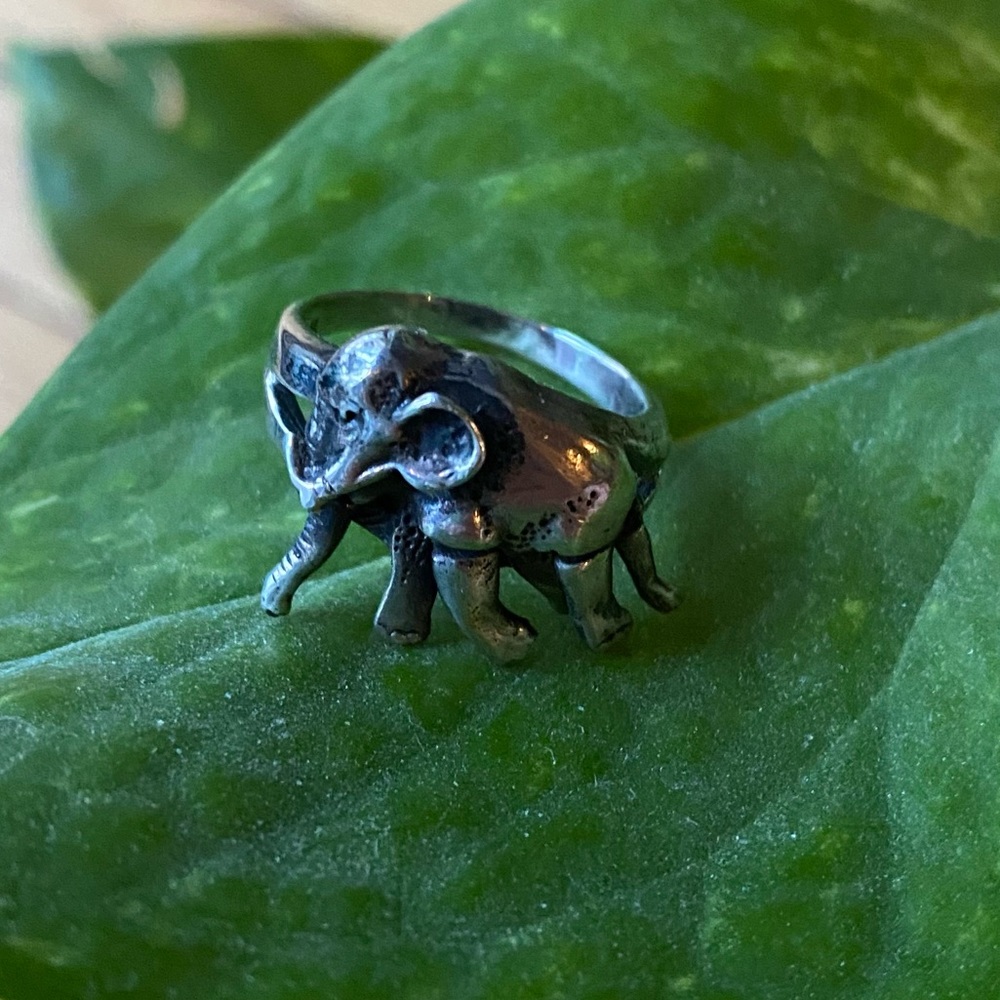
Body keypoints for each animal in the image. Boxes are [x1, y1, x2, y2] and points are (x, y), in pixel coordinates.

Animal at [261, 319, 678, 661]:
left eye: (348, 416)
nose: (270, 609)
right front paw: (402, 636)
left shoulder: (464, 499)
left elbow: (459, 565)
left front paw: (516, 644)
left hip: (592, 514)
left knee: (585, 561)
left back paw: (619, 629)